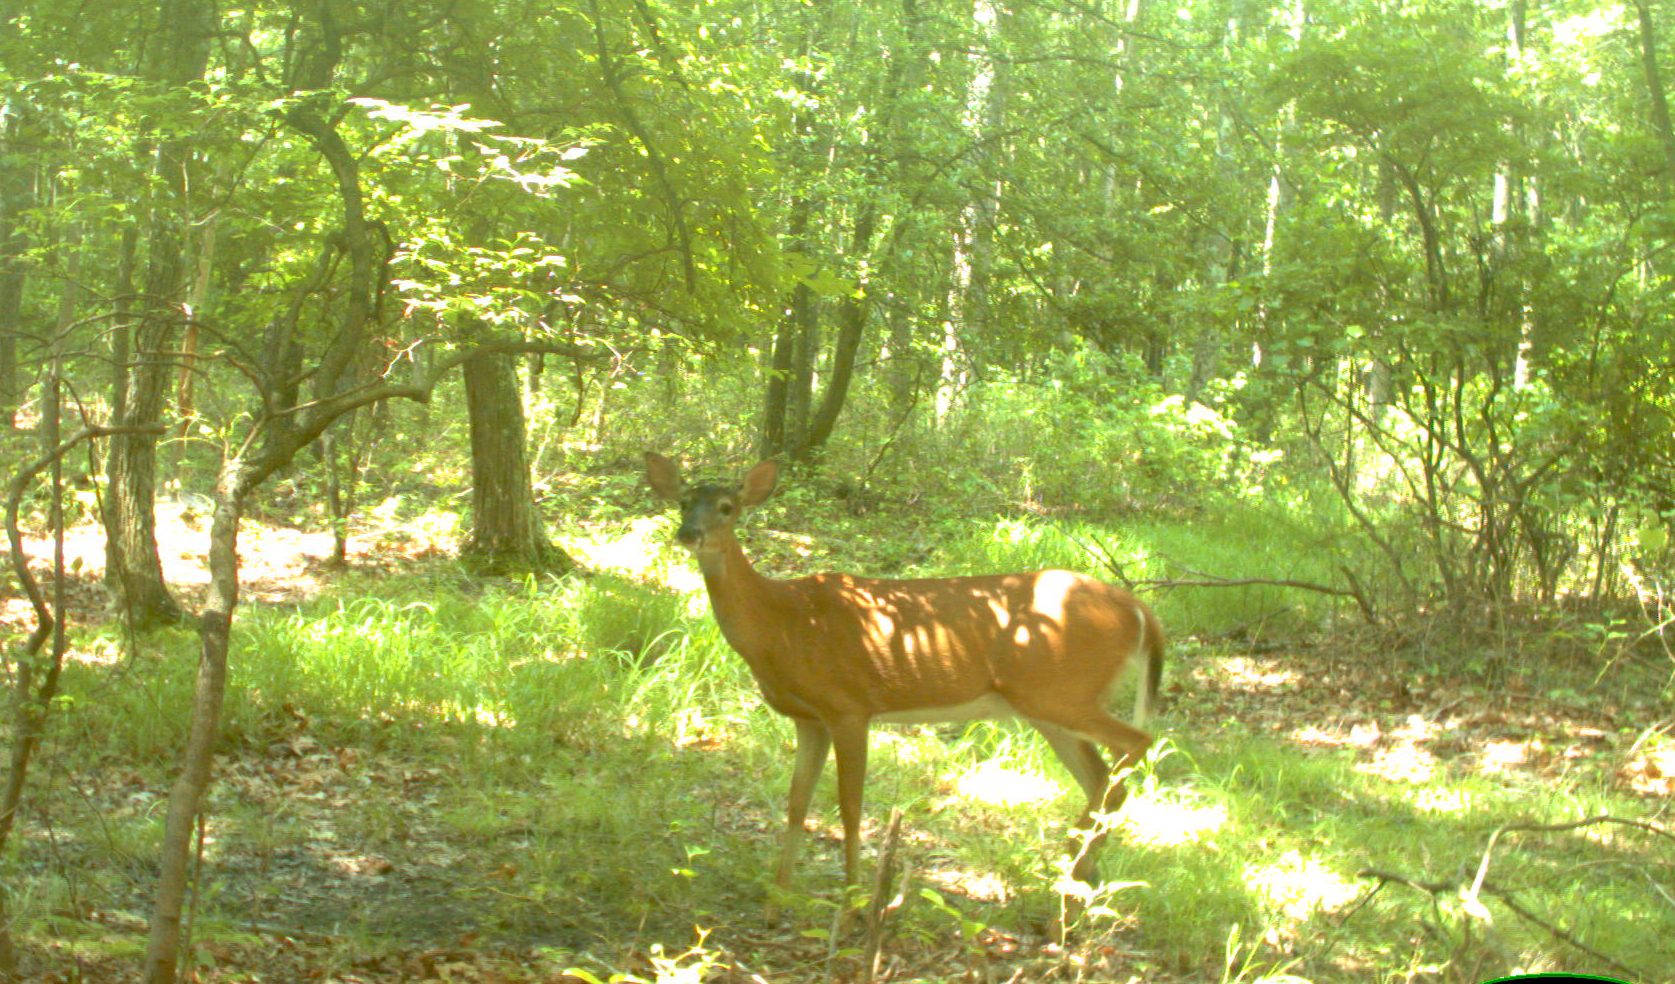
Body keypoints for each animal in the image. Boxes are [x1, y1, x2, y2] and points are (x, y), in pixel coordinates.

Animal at [643, 455, 1165, 918]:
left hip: (1060, 692)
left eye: (727, 506)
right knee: (1102, 777)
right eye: (684, 500)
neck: (782, 621)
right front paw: (776, 903)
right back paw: (1077, 883)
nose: (689, 533)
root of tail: (1140, 610)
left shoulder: (849, 705)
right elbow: (796, 805)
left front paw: (853, 904)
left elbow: (850, 807)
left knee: (1138, 743)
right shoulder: (809, 717)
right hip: (1048, 704)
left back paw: (1072, 874)